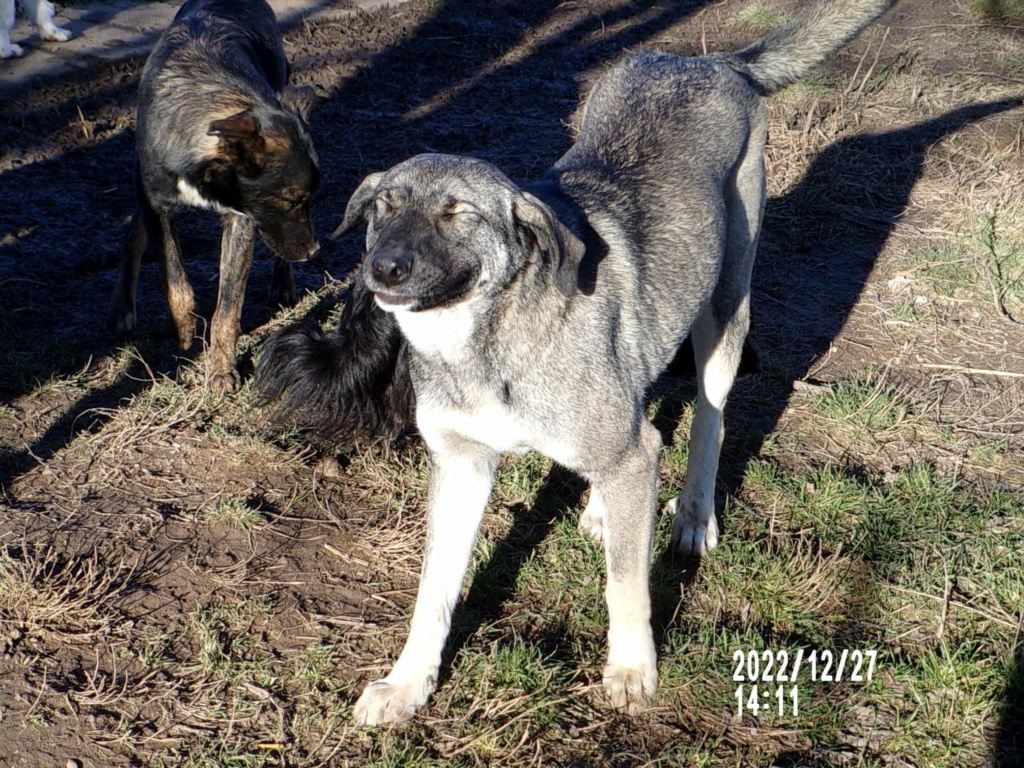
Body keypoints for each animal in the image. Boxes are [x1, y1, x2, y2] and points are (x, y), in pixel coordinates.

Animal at [276, 0, 892, 729]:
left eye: (458, 214)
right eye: (383, 209)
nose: (382, 268)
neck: (486, 341)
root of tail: (706, 62)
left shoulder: (625, 453)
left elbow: (626, 583)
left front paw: (630, 669)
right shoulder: (462, 466)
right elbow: (434, 591)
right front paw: (408, 684)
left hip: (723, 313)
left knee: (707, 421)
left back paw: (691, 515)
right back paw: (604, 505)